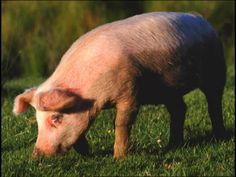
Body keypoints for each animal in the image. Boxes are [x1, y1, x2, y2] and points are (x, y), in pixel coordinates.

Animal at [13, 12, 227, 159]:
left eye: (56, 118)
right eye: (37, 120)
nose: (36, 154)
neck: (93, 95)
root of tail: (203, 20)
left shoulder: (130, 90)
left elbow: (121, 122)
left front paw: (119, 158)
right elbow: (80, 130)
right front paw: (87, 155)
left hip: (216, 69)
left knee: (214, 103)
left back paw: (219, 138)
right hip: (169, 88)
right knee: (179, 109)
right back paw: (172, 146)